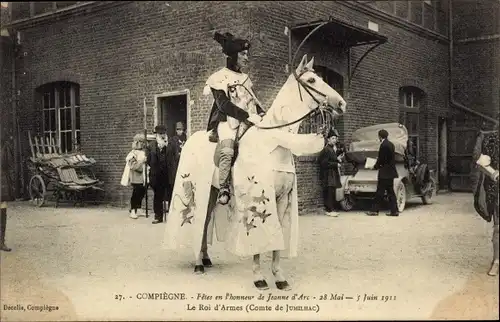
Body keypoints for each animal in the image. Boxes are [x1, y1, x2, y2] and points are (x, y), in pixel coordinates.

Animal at [164, 54, 348, 290]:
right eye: (312, 80)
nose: (341, 103)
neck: (275, 142)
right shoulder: (259, 196)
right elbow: (258, 240)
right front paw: (259, 277)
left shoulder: (282, 199)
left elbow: (278, 236)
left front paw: (279, 277)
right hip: (201, 191)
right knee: (198, 222)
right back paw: (198, 264)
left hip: (212, 192)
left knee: (205, 223)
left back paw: (205, 258)